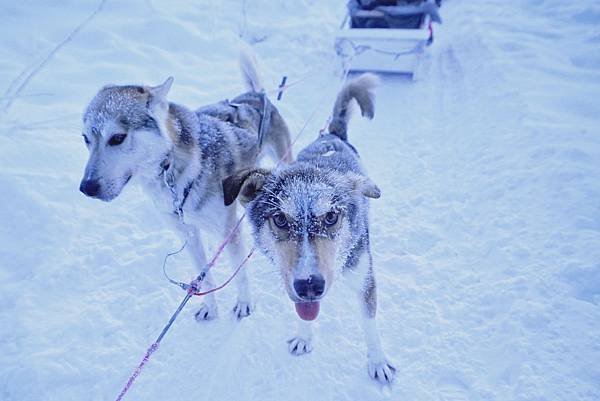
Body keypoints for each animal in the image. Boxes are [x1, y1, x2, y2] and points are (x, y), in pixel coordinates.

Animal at [80, 51, 292, 318]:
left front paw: (244, 303)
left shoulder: (228, 233)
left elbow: (240, 274)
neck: (172, 173)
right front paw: (209, 307)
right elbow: (204, 275)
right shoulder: (188, 234)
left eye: (117, 137)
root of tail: (257, 95)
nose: (86, 188)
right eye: (85, 139)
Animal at [223, 73, 396, 382]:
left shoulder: (365, 279)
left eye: (331, 217)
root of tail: (331, 134)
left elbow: (370, 325)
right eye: (280, 220)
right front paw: (304, 337)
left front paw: (377, 362)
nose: (310, 285)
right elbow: (301, 314)